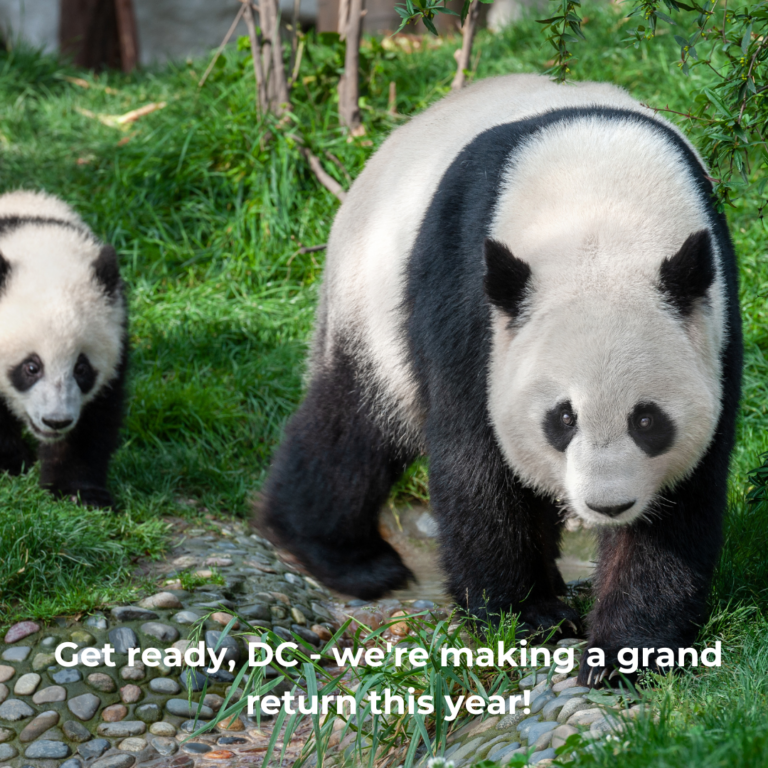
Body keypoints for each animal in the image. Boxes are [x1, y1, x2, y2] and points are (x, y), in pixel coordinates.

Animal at [0, 190, 127, 508]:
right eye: (31, 367)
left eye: (82, 368)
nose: (55, 421)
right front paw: (10, 463)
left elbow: (93, 422)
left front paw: (78, 492)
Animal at [259, 74, 742, 685]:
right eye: (563, 418)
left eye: (647, 420)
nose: (607, 505)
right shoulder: (469, 293)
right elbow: (477, 458)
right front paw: (526, 615)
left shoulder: (714, 321)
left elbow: (679, 500)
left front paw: (625, 652)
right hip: (371, 295)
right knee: (354, 425)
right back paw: (341, 555)